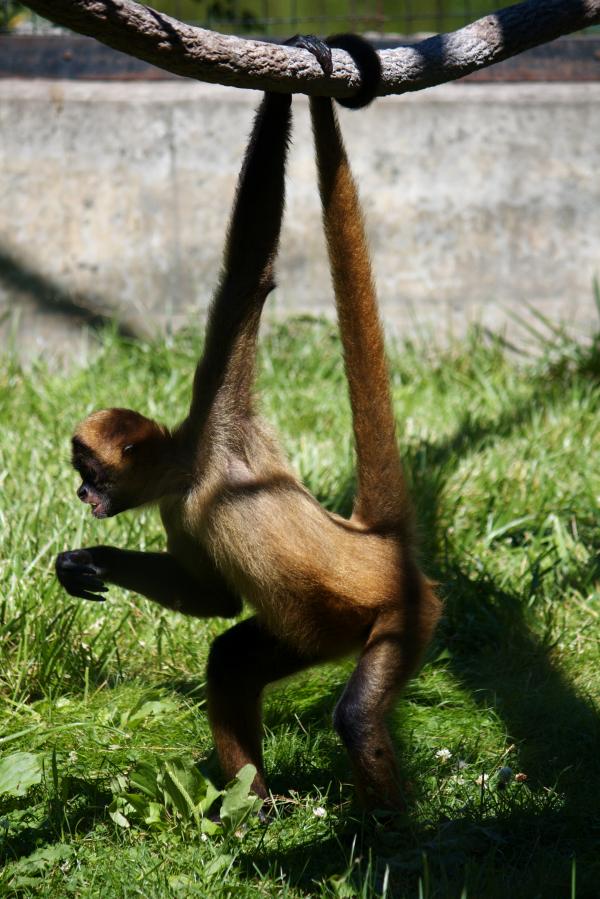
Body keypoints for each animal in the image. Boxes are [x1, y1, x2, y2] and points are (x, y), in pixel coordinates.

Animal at [55, 35, 442, 812]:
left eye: (90, 472)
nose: (82, 496)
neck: (190, 469)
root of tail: (373, 541)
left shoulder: (222, 412)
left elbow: (249, 275)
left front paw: (285, 74)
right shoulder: (175, 506)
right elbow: (214, 600)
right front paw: (86, 560)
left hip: (405, 615)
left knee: (356, 716)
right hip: (316, 631)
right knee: (230, 656)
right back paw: (254, 809)